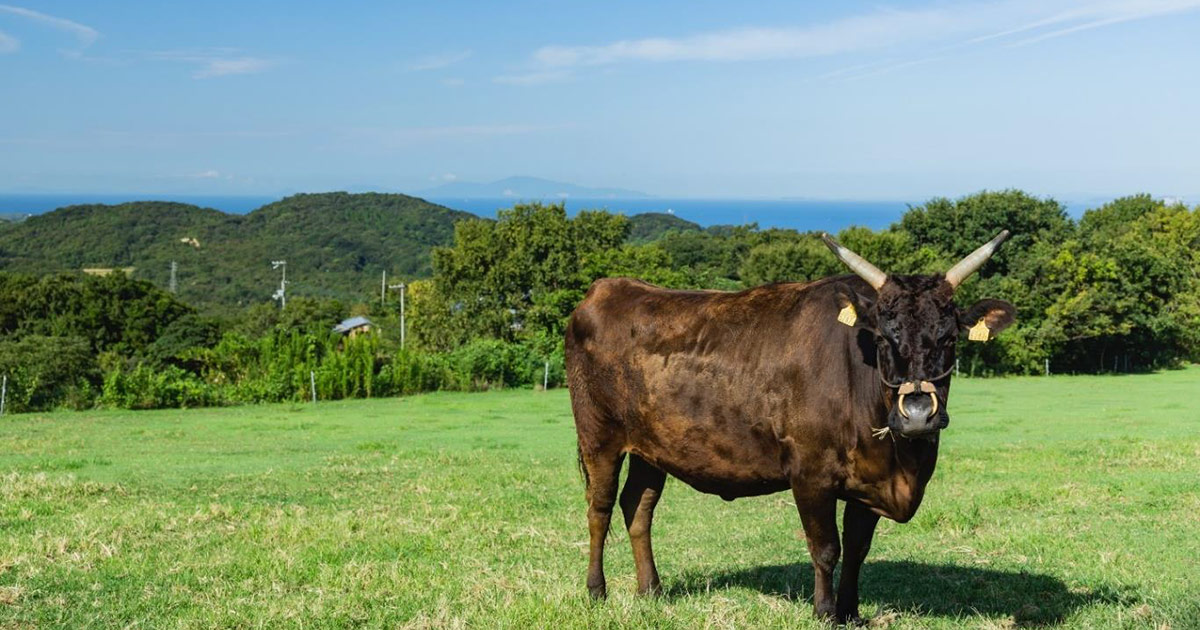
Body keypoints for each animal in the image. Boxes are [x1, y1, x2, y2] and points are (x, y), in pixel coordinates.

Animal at [566, 229, 1017, 619]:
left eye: (949, 338)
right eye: (884, 338)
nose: (919, 412)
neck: (900, 463)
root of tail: (608, 287)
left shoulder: (867, 481)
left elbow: (857, 549)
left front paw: (851, 612)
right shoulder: (810, 476)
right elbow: (826, 548)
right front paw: (825, 612)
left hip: (650, 448)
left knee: (638, 507)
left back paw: (652, 590)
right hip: (598, 437)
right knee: (600, 508)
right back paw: (597, 591)